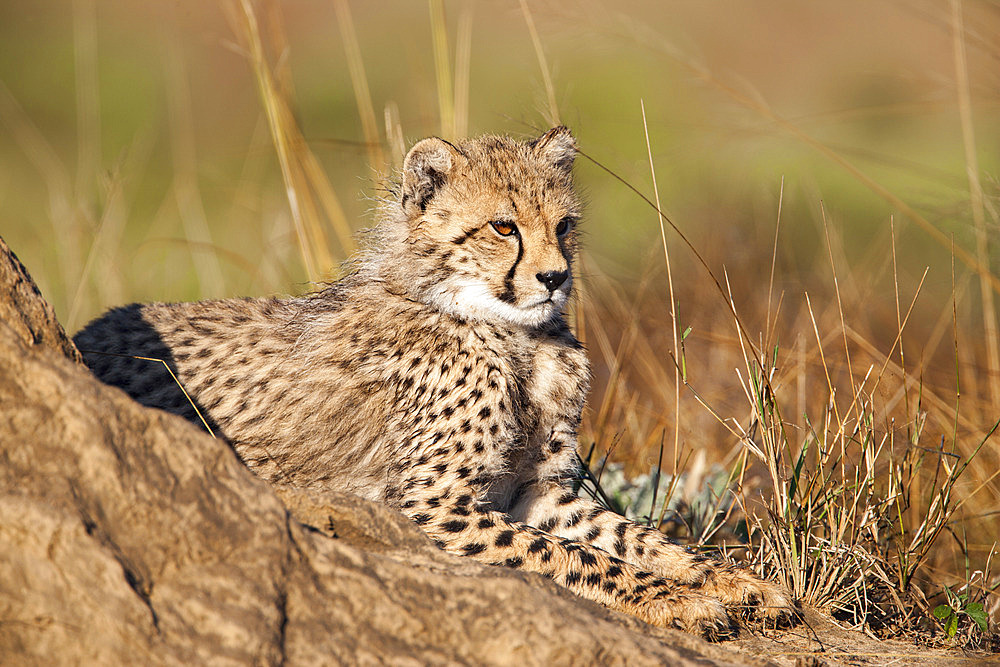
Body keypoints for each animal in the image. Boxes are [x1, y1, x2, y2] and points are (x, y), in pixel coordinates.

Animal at [76, 125, 796, 636]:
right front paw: (679, 600)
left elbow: (633, 536)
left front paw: (730, 582)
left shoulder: (540, 490)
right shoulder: (430, 505)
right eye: (504, 226)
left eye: (563, 226)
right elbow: (577, 557)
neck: (511, 334)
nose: (556, 277)